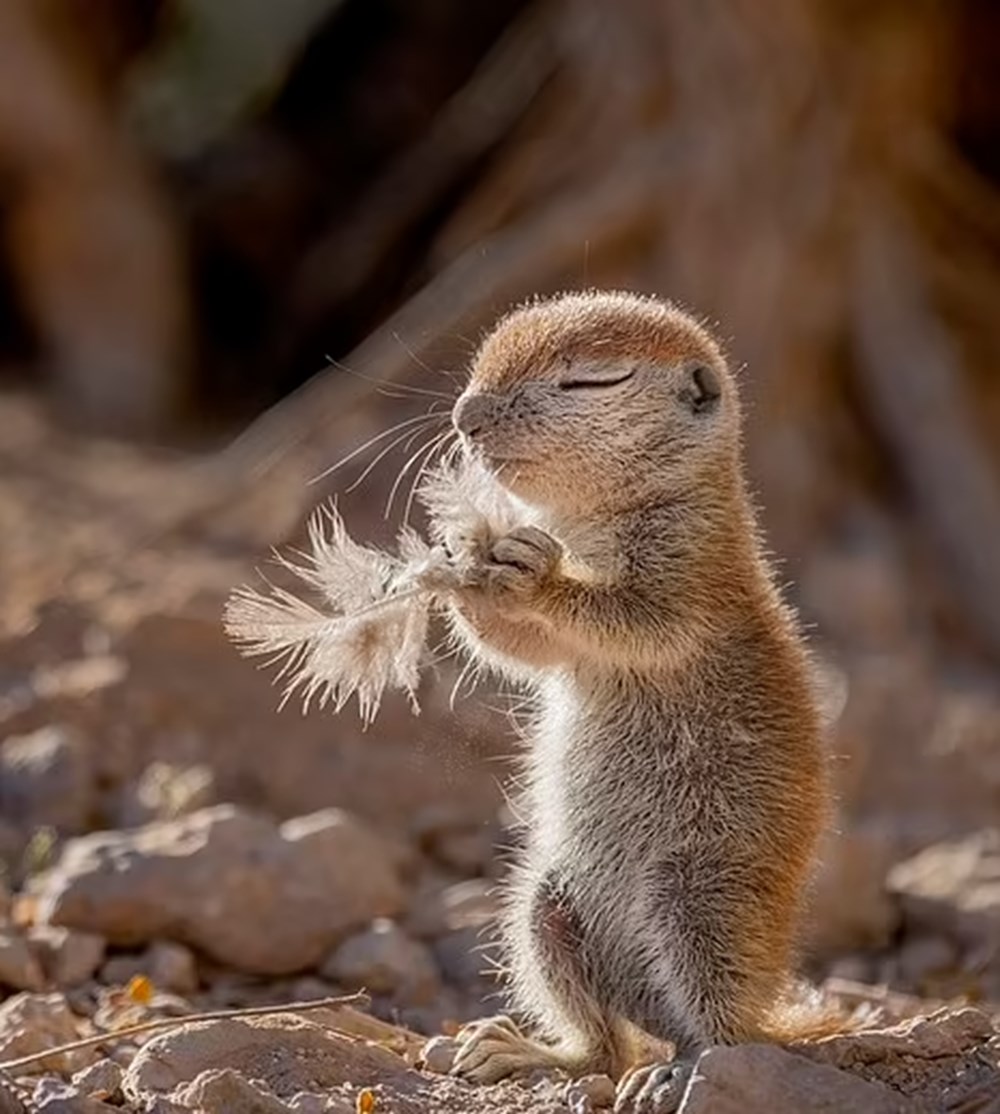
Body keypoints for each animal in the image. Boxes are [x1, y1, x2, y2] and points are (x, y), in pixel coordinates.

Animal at [443, 289, 832, 1114]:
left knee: (725, 1034)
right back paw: (530, 1051)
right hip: (546, 906)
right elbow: (522, 650)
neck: (594, 524)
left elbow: (635, 620)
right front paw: (459, 560)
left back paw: (678, 1072)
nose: (465, 415)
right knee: (603, 1046)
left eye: (591, 380)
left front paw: (537, 576)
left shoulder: (691, 574)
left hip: (699, 902)